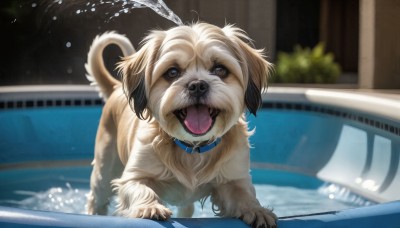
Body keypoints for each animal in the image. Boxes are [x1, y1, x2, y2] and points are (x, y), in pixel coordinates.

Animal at [85, 22, 276, 227]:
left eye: (220, 69)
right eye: (172, 72)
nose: (198, 85)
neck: (193, 149)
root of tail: (115, 87)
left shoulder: (234, 178)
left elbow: (244, 196)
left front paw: (257, 210)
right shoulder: (134, 176)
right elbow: (141, 188)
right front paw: (149, 207)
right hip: (104, 171)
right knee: (97, 198)